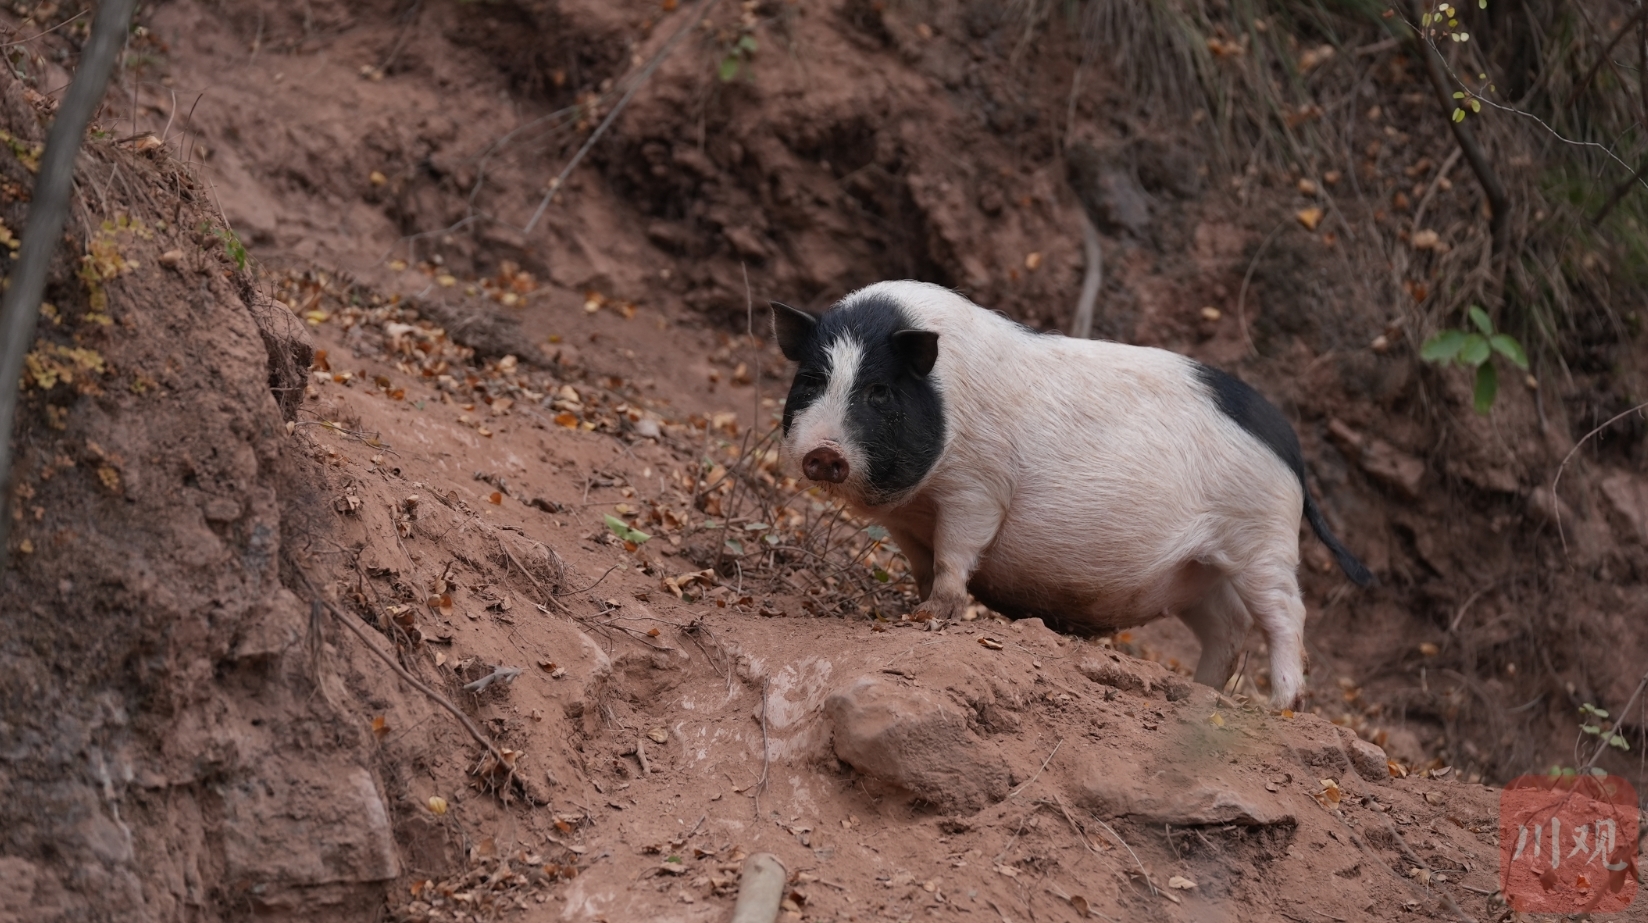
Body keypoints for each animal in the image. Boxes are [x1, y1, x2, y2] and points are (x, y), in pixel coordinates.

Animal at [774, 280, 1377, 705]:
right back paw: (1201, 693)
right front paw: (913, 609)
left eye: (878, 391)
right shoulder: (906, 521)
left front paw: (932, 617)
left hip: (1262, 538)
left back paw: (1281, 705)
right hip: (1200, 571)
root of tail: (1292, 450)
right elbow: (924, 567)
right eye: (811, 380)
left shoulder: (977, 488)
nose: (824, 453)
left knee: (1285, 612)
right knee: (1228, 626)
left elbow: (956, 555)